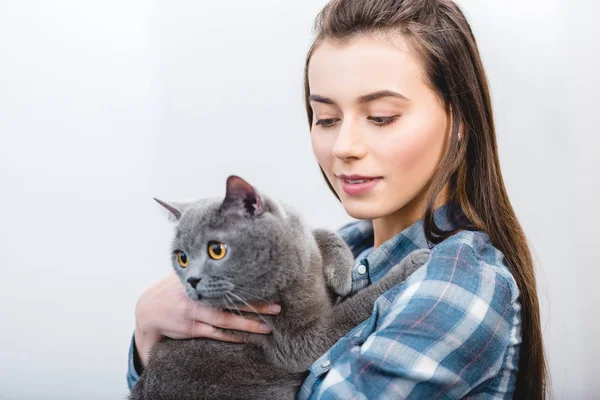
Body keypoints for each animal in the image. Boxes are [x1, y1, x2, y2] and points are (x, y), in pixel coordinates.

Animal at [130, 176, 432, 400]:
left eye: (216, 250)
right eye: (182, 257)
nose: (191, 281)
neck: (293, 273)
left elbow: (321, 233)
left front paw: (341, 274)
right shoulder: (298, 341)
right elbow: (355, 307)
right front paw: (410, 264)